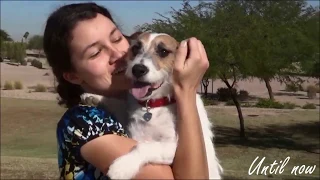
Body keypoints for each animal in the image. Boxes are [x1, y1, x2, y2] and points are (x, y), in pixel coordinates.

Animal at [81, 32, 224, 179]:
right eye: (135, 48)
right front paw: (94, 97)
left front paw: (123, 166)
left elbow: (145, 147)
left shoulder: (175, 148)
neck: (153, 105)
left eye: (163, 51)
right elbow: (120, 105)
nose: (138, 69)